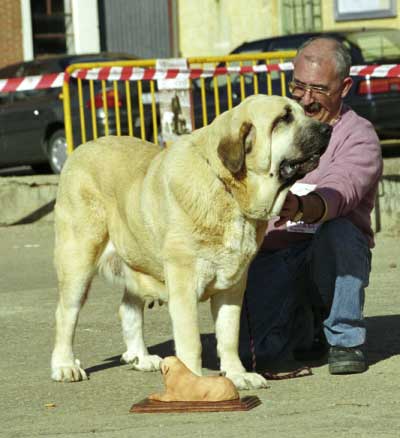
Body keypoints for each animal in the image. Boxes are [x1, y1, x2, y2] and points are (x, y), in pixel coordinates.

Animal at [50, 94, 332, 388]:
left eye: (305, 111)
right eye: (284, 118)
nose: (328, 129)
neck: (228, 190)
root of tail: (80, 149)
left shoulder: (232, 286)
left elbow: (229, 335)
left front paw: (237, 374)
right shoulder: (184, 283)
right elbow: (191, 341)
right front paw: (193, 381)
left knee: (128, 307)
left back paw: (141, 357)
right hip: (78, 261)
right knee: (66, 313)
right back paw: (65, 366)